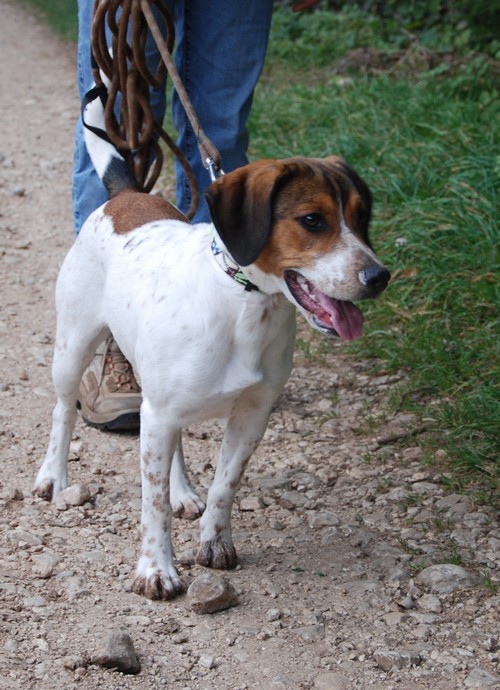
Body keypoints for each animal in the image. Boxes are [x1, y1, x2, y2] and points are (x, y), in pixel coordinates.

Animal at [35, 88, 390, 600]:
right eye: (312, 220)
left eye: (362, 218)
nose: (379, 277)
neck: (243, 306)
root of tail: (127, 195)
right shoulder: (159, 413)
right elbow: (153, 504)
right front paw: (156, 570)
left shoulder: (251, 415)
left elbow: (225, 485)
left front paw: (215, 544)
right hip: (74, 348)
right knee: (63, 410)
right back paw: (53, 476)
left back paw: (183, 491)